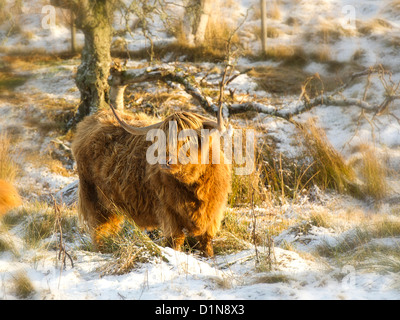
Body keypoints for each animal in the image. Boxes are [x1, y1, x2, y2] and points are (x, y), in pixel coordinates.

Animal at [70, 106, 230, 256]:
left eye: (187, 139)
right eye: (163, 140)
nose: (166, 160)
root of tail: (92, 118)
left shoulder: (212, 213)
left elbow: (206, 241)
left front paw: (209, 258)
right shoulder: (168, 212)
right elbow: (175, 240)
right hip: (94, 199)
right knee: (99, 231)